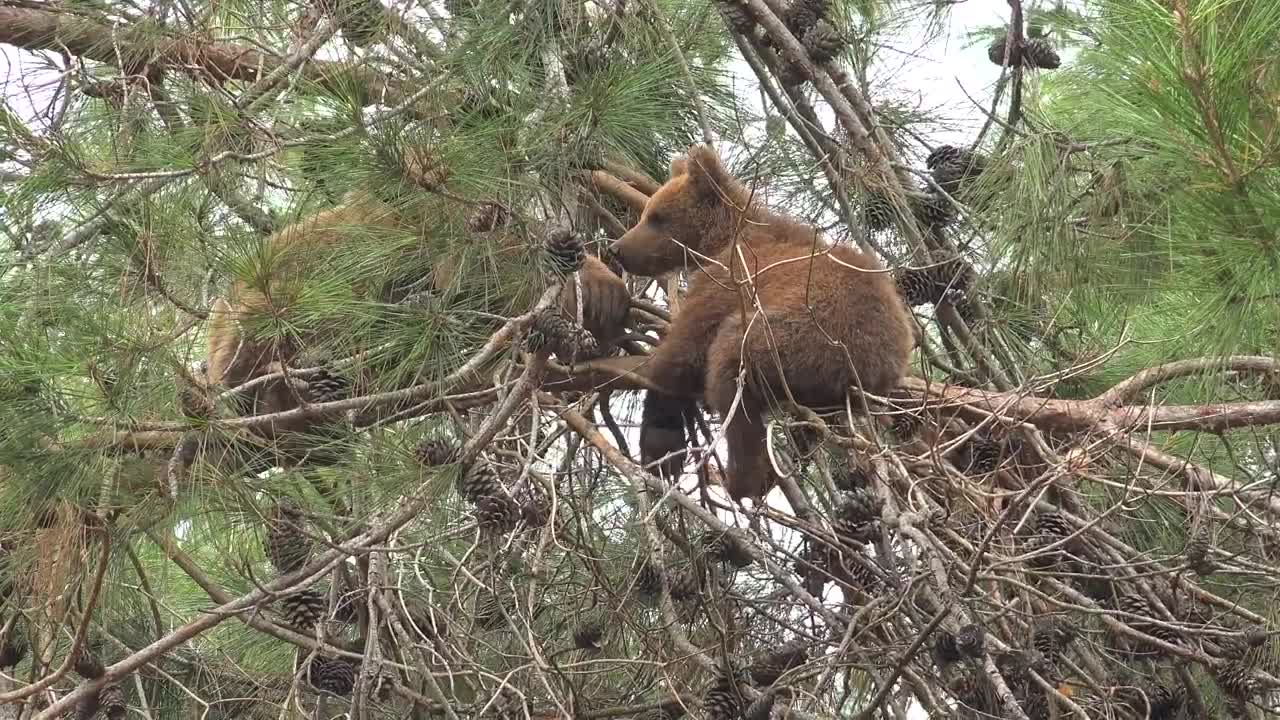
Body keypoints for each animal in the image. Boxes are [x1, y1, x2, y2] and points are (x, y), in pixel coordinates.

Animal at [553, 144, 914, 500]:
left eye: (657, 218)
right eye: (648, 213)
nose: (618, 249)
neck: (719, 240)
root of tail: (878, 368)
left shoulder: (728, 279)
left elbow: (679, 357)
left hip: (801, 337)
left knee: (731, 372)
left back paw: (743, 479)